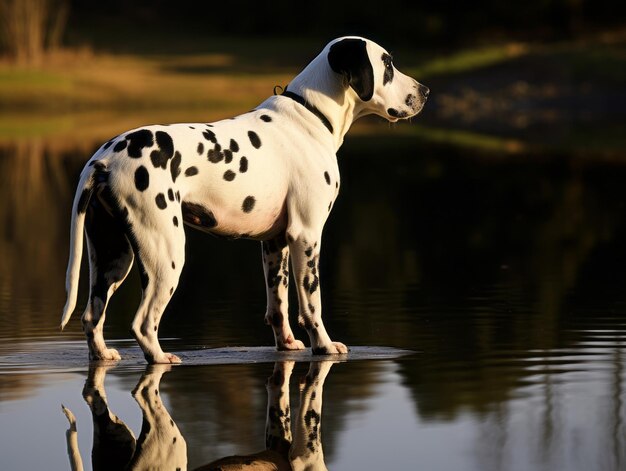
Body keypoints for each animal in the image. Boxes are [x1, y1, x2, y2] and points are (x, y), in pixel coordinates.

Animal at [61, 36, 426, 366]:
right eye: (388, 65)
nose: (425, 91)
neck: (310, 117)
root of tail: (104, 159)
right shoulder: (307, 235)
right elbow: (312, 303)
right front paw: (323, 345)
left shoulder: (275, 243)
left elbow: (278, 307)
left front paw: (288, 344)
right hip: (165, 253)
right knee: (143, 322)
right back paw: (161, 356)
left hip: (112, 258)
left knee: (91, 316)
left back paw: (103, 353)